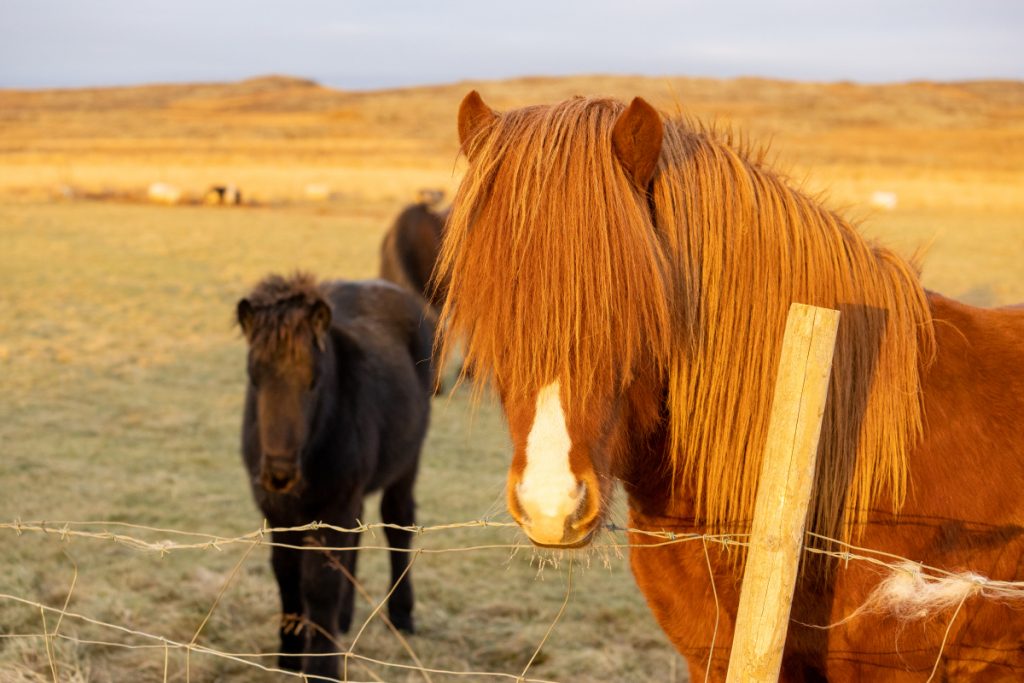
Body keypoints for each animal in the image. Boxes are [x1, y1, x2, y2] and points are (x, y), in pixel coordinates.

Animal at [237, 272, 434, 679]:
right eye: (254, 377)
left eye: (314, 379)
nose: (279, 474)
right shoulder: (277, 509)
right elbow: (286, 573)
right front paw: (290, 653)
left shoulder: (333, 503)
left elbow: (320, 582)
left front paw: (323, 666)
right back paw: (343, 620)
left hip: (406, 461)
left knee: (397, 523)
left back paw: (401, 615)